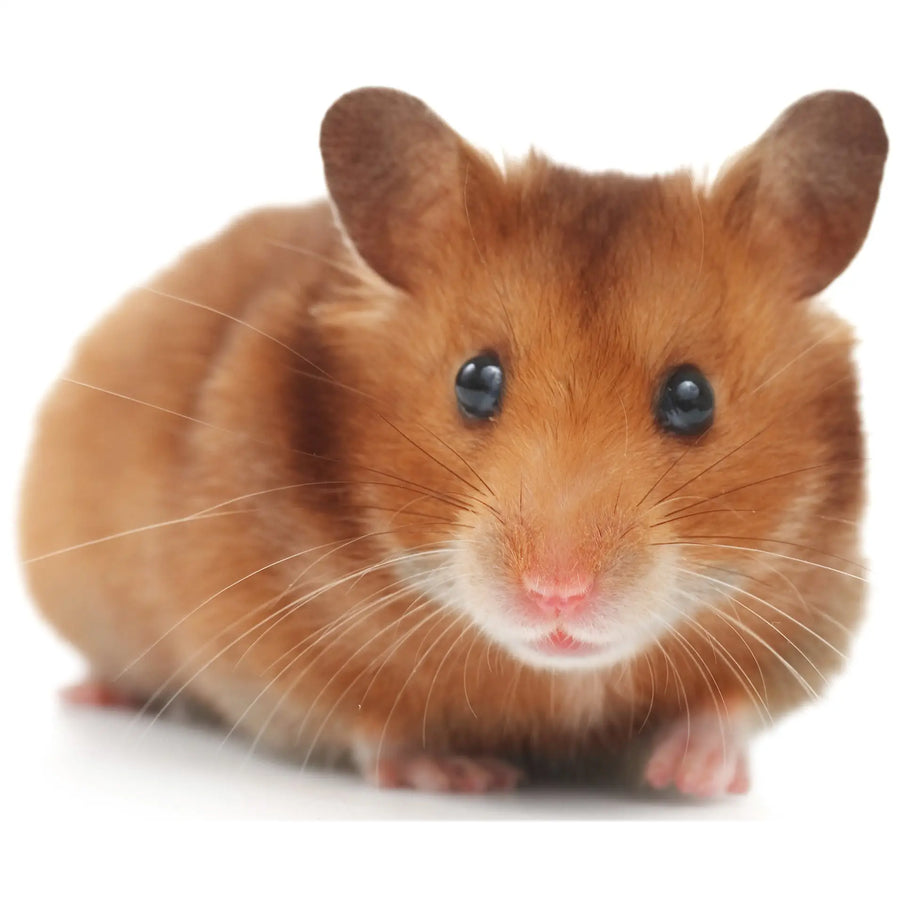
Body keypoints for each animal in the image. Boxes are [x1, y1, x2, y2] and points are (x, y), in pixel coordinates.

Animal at [19, 88, 887, 795]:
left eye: (691, 397)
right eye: (475, 380)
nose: (557, 593)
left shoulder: (817, 614)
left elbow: (733, 705)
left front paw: (694, 777)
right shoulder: (265, 644)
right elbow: (372, 722)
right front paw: (466, 773)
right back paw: (95, 693)